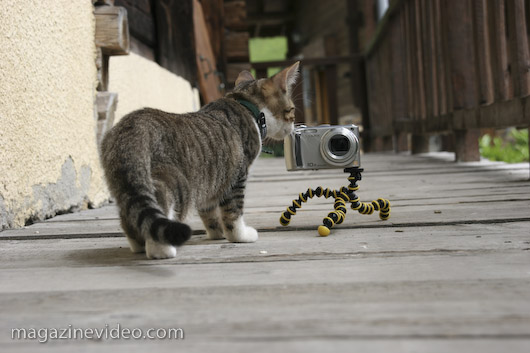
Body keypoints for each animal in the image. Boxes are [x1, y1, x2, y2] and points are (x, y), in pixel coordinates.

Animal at [99, 61, 296, 258]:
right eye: (291, 110)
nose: (293, 127)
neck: (246, 106)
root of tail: (132, 128)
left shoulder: (210, 181)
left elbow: (209, 213)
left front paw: (217, 234)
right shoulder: (237, 177)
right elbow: (233, 213)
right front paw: (241, 236)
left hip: (125, 185)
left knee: (130, 216)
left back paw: (139, 245)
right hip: (173, 183)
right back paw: (162, 250)